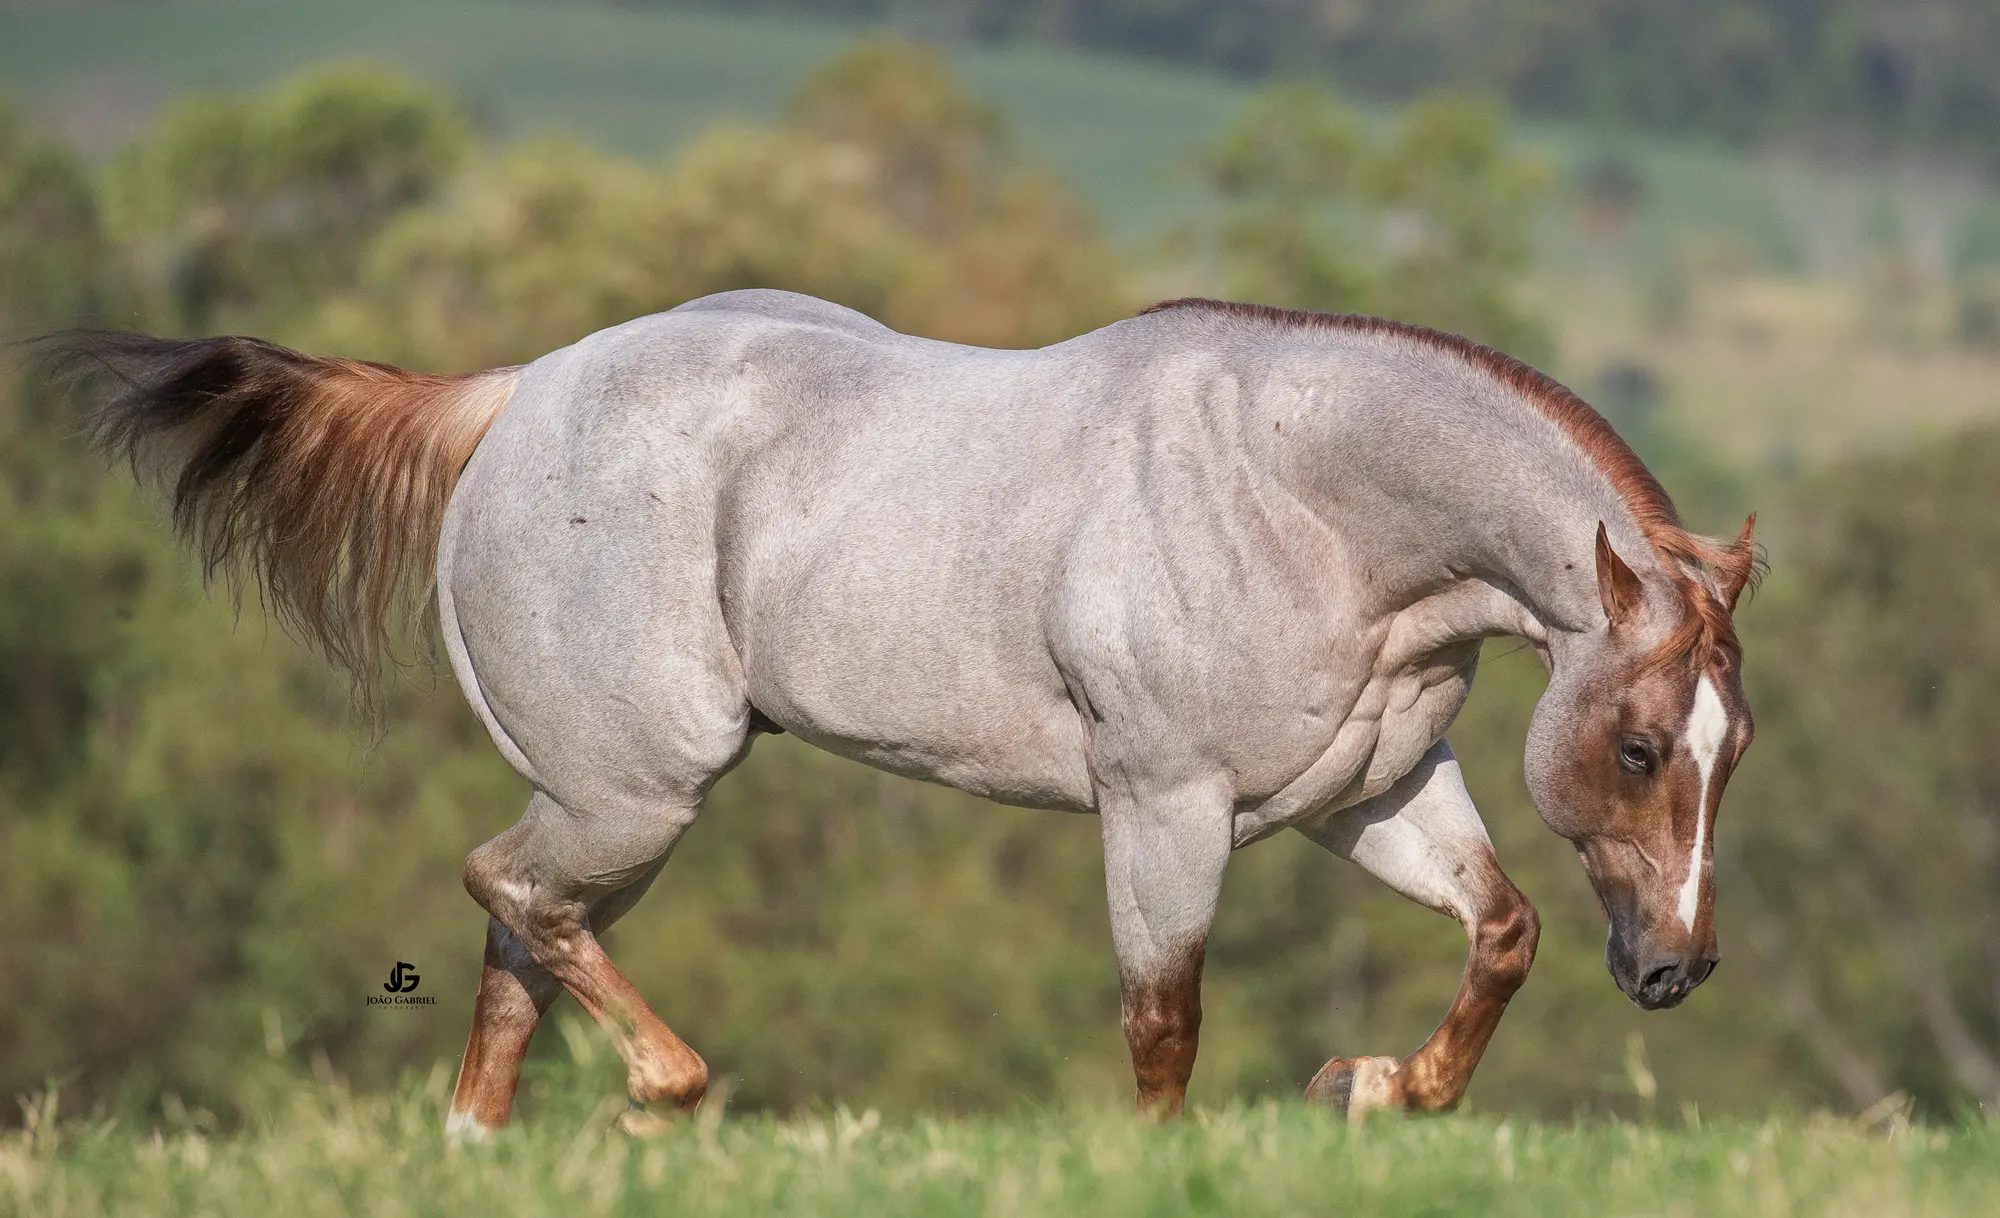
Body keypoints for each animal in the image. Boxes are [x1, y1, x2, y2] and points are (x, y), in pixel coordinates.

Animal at [51, 289, 1758, 1134]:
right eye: (1636, 745)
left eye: (1734, 749)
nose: (1675, 970)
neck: (1302, 501)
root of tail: (514, 394)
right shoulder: (1165, 807)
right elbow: (1163, 1024)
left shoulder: (1366, 797)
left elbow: (1501, 931)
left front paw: (1374, 1084)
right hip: (637, 788)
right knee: (509, 890)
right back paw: (667, 1089)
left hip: (618, 806)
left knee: (518, 940)